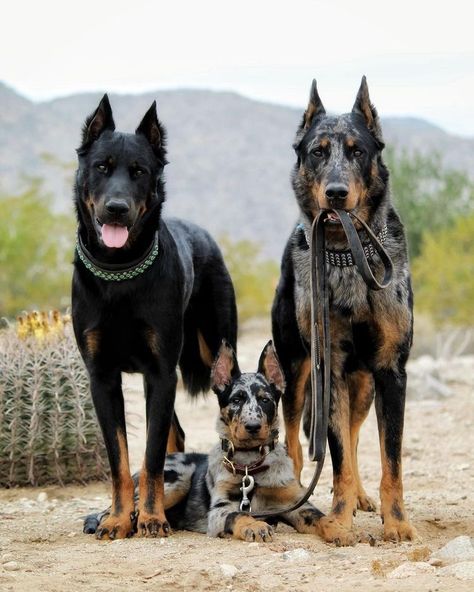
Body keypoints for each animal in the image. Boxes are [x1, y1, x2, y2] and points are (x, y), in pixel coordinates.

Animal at [71, 95, 237, 540]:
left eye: (140, 171)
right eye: (102, 167)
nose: (117, 209)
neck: (119, 273)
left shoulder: (160, 373)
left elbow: (150, 457)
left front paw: (150, 518)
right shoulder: (102, 377)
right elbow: (122, 461)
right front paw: (117, 518)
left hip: (220, 351)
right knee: (173, 434)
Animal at [84, 342, 356, 544]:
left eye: (265, 400)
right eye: (236, 399)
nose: (253, 427)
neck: (250, 466)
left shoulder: (297, 505)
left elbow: (322, 518)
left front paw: (341, 530)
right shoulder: (219, 511)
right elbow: (238, 515)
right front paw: (255, 526)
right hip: (176, 481)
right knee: (117, 511)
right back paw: (122, 523)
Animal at [272, 76, 416, 544]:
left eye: (357, 151)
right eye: (318, 152)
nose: (336, 194)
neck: (347, 258)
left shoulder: (390, 371)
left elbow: (391, 461)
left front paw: (396, 521)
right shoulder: (328, 367)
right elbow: (335, 460)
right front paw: (337, 520)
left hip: (364, 386)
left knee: (352, 439)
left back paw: (363, 500)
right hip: (297, 372)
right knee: (299, 443)